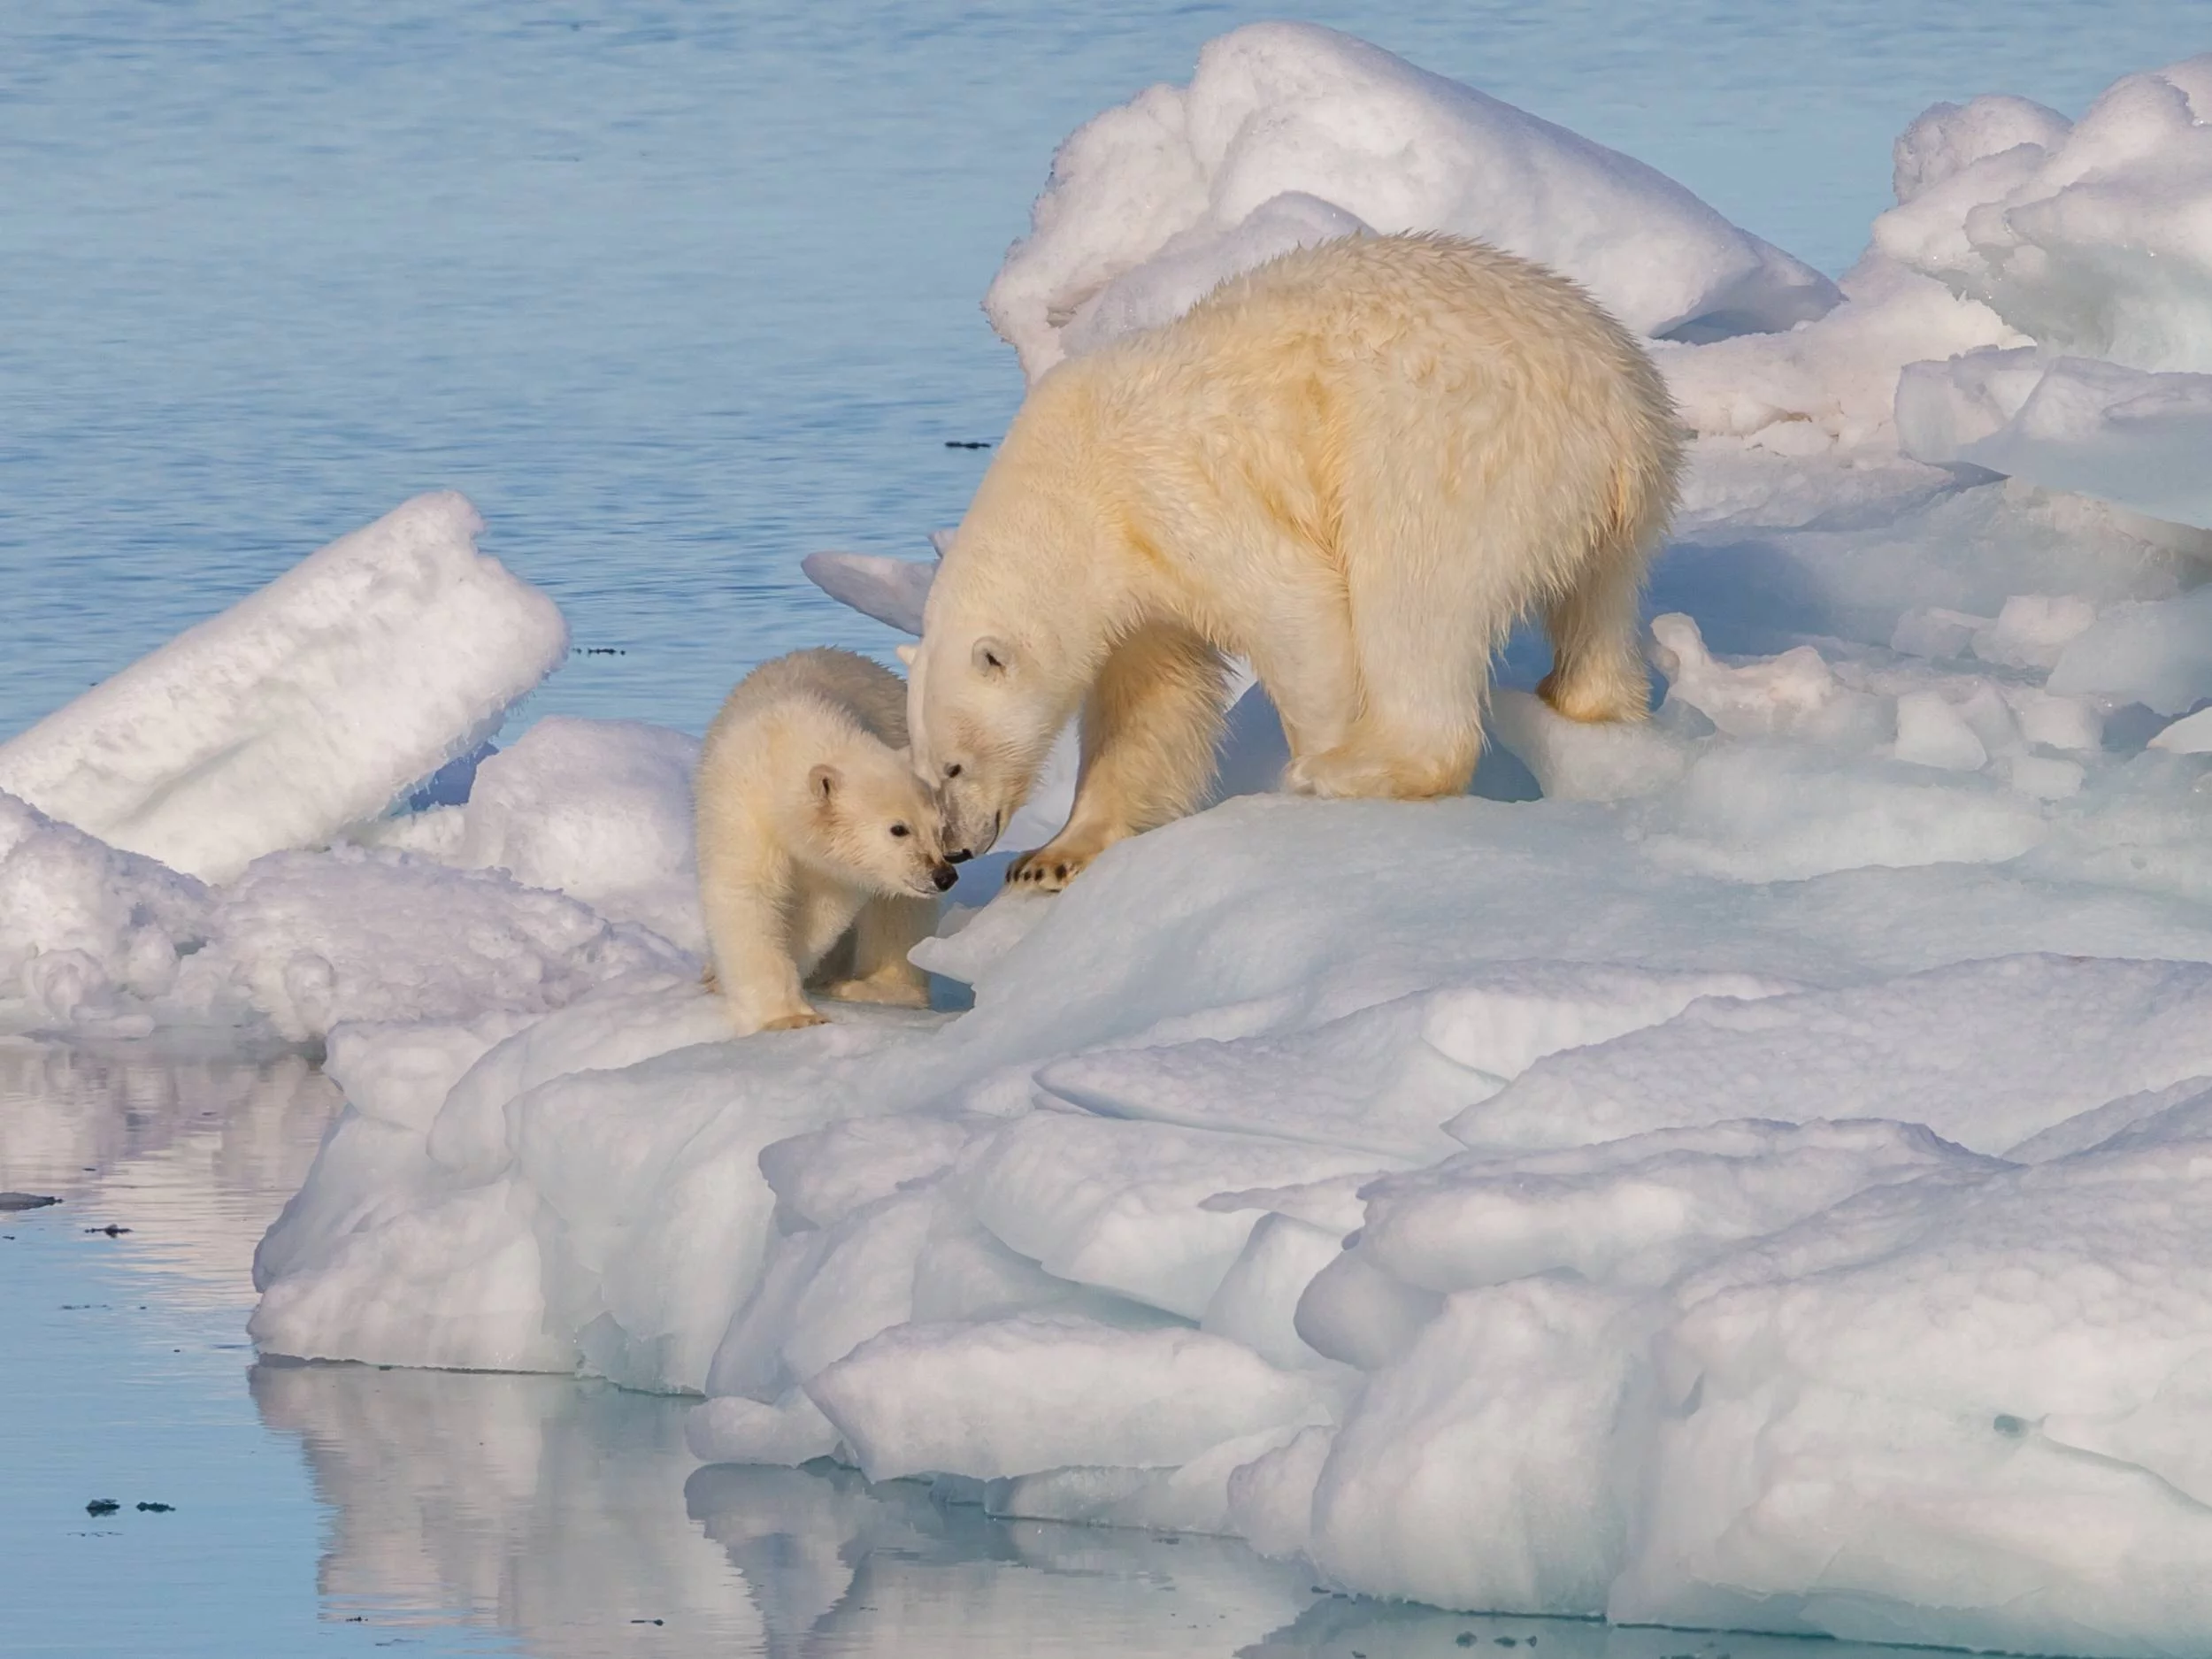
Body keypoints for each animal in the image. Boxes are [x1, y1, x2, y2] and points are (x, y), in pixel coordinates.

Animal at [898, 232, 1672, 889]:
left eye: (955, 765)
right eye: (925, 769)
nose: (959, 848)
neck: (1073, 487)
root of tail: (1621, 413)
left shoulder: (1174, 494)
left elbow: (1296, 610)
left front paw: (1313, 759)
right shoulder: (1139, 579)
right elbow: (1148, 703)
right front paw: (1052, 855)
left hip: (1449, 449)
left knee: (1415, 596)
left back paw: (1353, 769)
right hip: (1613, 510)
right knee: (1600, 607)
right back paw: (1586, 705)